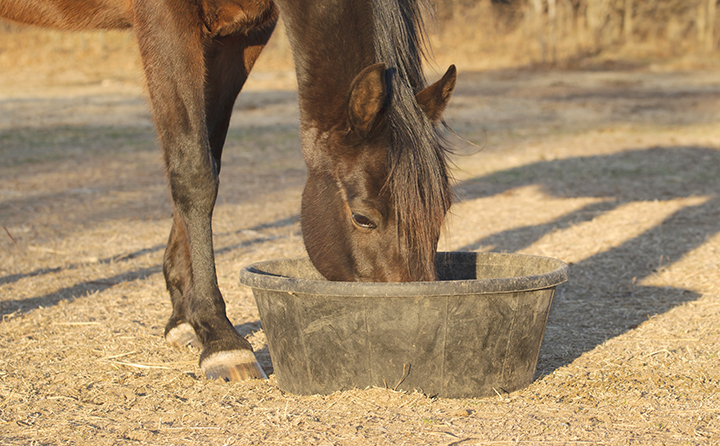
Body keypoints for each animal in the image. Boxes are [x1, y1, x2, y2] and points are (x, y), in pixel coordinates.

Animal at [1, 0, 457, 381]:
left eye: (443, 210)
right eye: (363, 218)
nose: (413, 329)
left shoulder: (239, 35)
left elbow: (208, 155)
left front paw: (185, 318)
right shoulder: (165, 20)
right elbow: (194, 171)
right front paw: (221, 339)